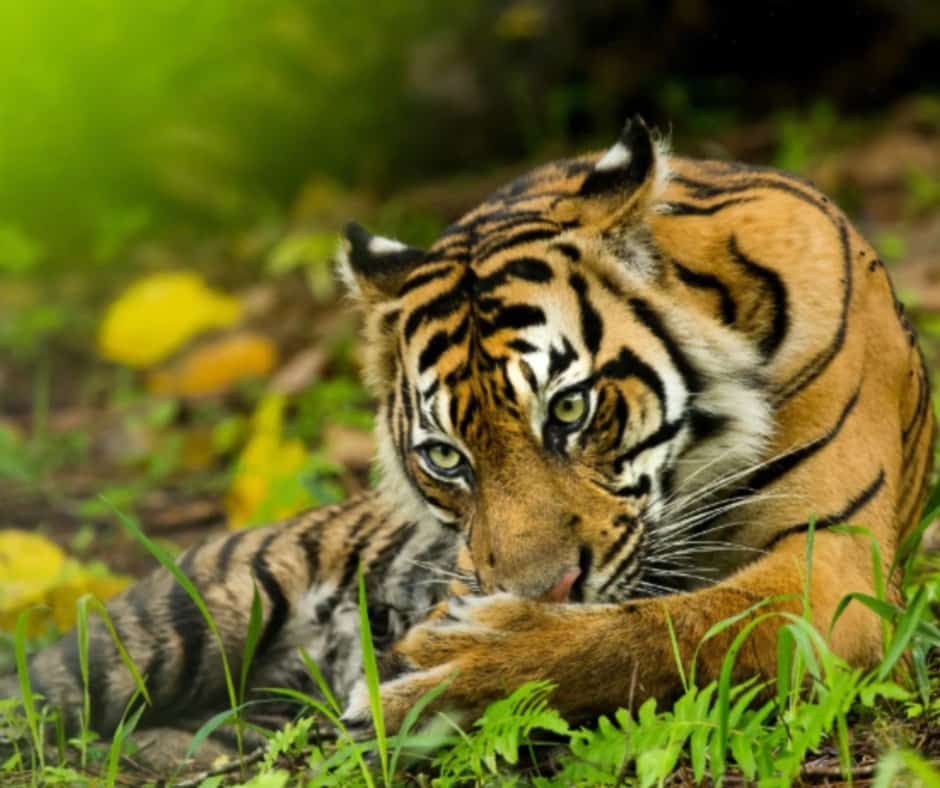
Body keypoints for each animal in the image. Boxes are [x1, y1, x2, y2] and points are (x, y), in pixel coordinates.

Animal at [1, 117, 932, 752]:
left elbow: (663, 631)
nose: (546, 592)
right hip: (168, 625)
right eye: (447, 458)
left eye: (569, 410)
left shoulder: (829, 571)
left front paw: (459, 668)